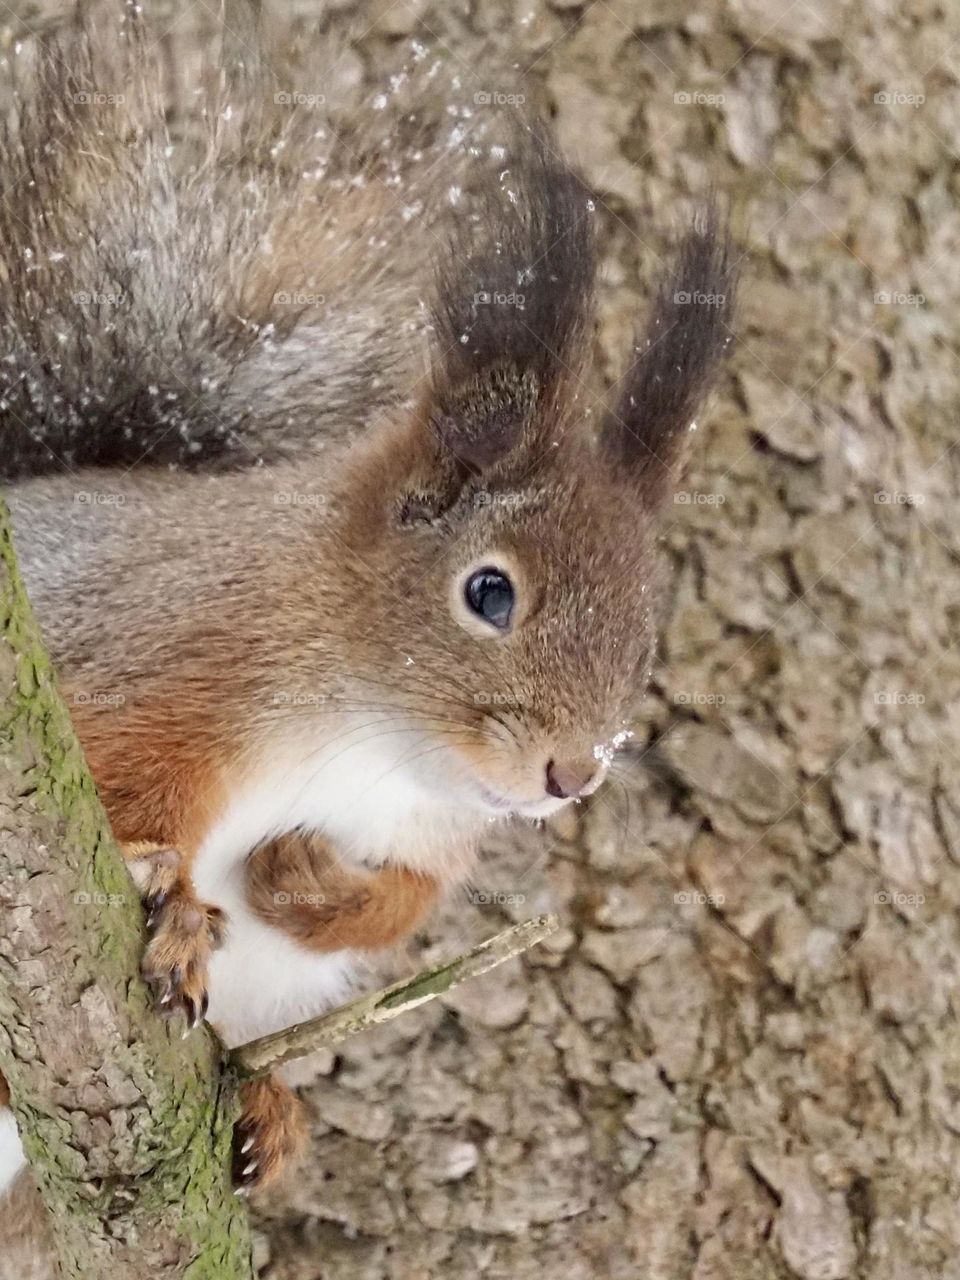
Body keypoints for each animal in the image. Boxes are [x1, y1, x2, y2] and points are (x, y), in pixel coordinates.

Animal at [0, 6, 735, 1197]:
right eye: (488, 591)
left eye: (644, 635)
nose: (571, 776)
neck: (371, 731)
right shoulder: (159, 651)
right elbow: (108, 782)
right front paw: (175, 898)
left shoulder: (429, 825)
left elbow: (405, 904)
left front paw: (306, 882)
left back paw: (264, 1109)